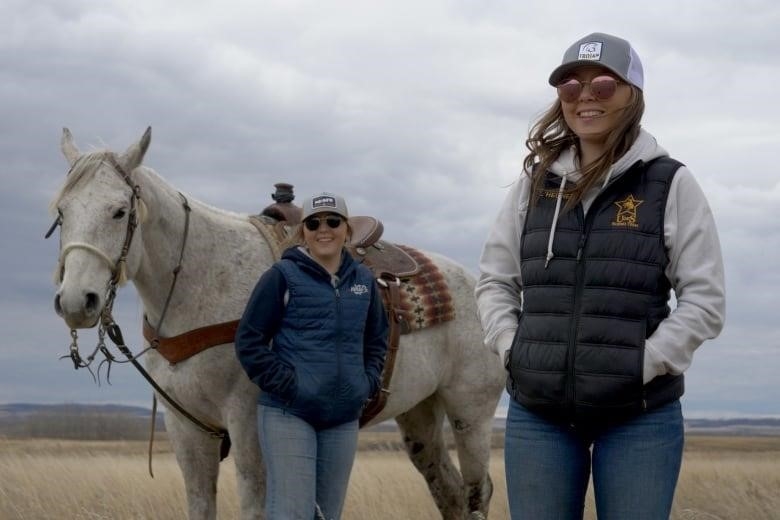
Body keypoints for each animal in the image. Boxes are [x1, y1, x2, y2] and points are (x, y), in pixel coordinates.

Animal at [50, 127, 506, 520]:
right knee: (447, 490)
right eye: (61, 212)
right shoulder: (186, 429)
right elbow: (200, 504)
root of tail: (476, 286)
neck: (202, 285)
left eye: (119, 211)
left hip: (470, 414)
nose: (76, 301)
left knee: (476, 491)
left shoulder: (249, 426)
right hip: (418, 414)